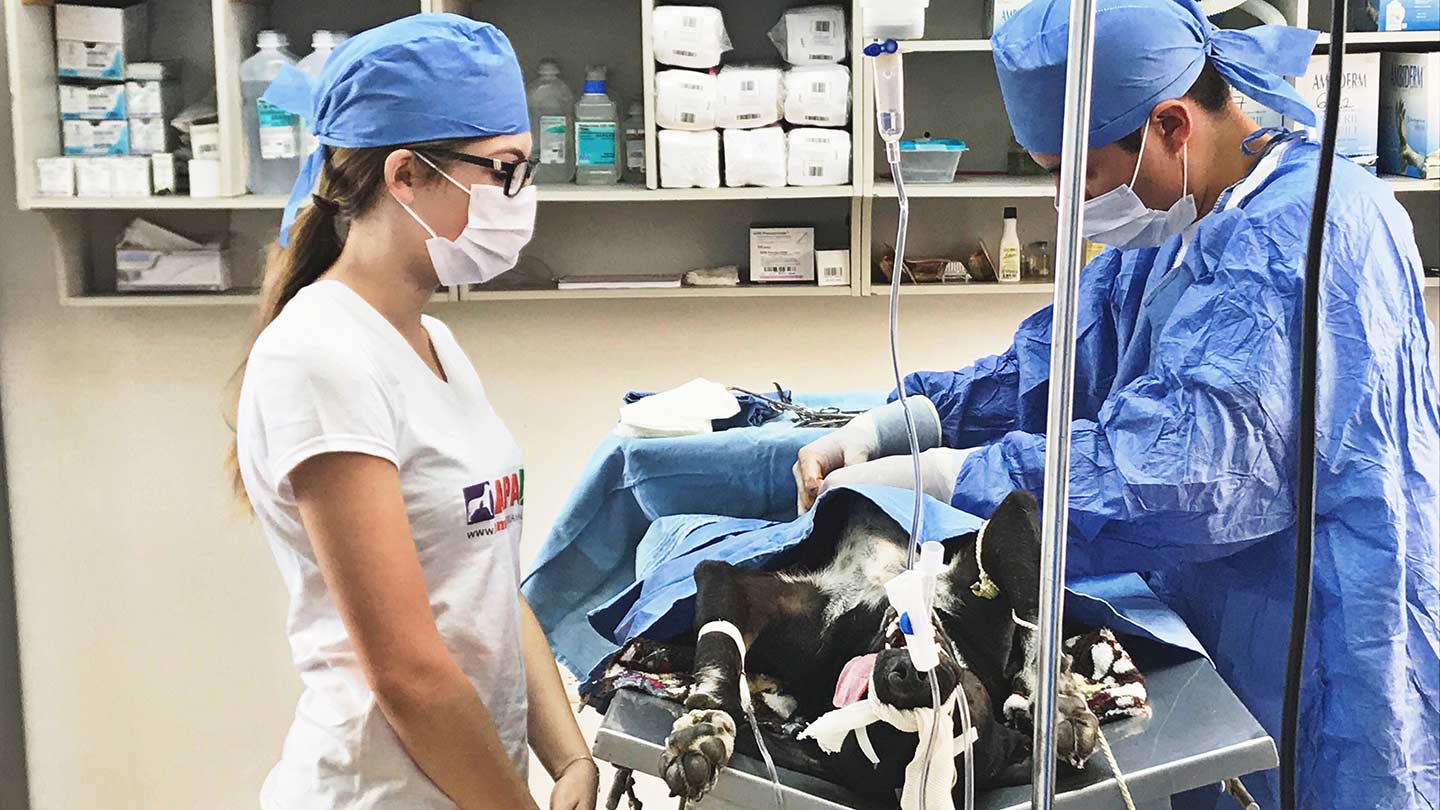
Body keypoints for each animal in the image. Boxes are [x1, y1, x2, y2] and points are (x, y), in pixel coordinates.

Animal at [659, 484, 1094, 801]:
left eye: (956, 716)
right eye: (866, 721)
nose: (909, 676)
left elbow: (1036, 613)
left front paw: (1062, 708)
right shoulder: (739, 588)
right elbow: (718, 667)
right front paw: (703, 733)